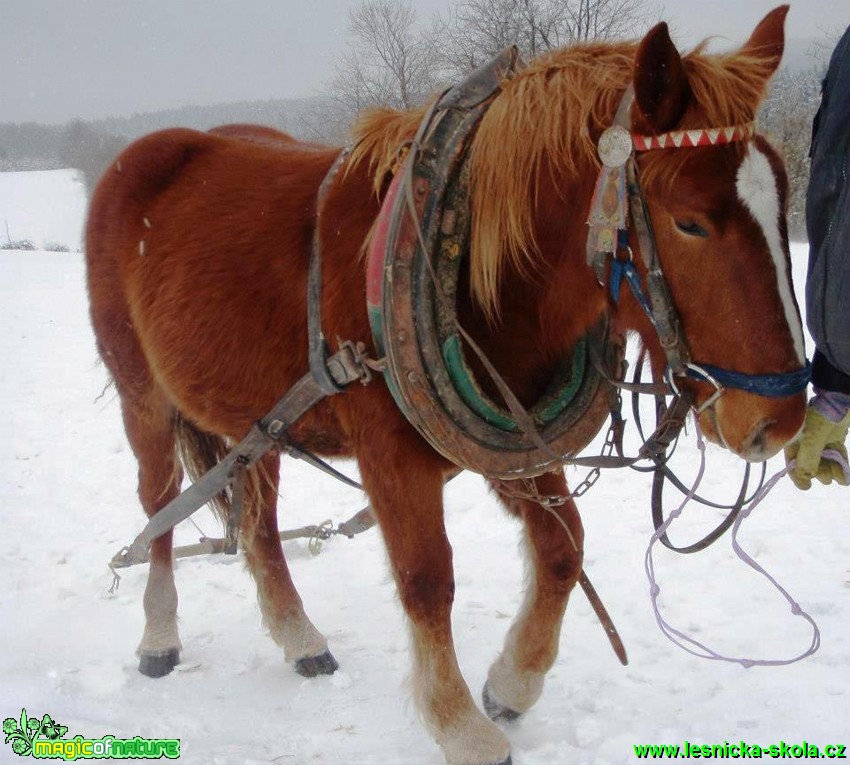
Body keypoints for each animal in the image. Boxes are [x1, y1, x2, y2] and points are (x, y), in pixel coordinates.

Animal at [89, 7, 804, 764]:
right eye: (690, 221)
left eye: (784, 204)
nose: (780, 419)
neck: (471, 274)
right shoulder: (389, 451)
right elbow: (427, 576)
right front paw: (460, 723)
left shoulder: (514, 437)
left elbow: (564, 549)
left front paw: (513, 681)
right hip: (142, 395)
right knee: (160, 505)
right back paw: (159, 635)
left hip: (257, 420)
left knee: (259, 521)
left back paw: (299, 637)